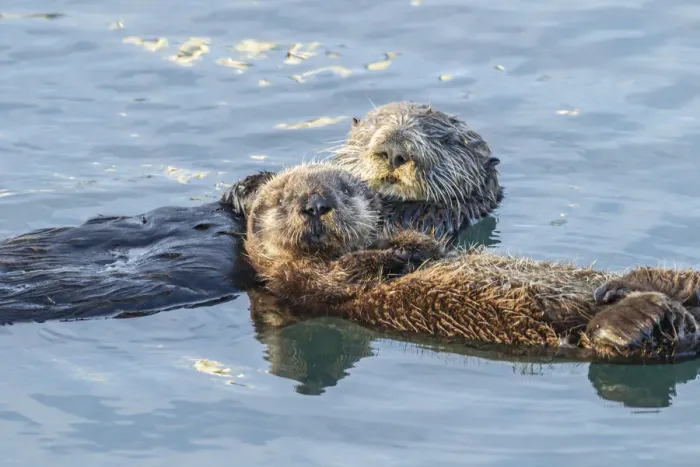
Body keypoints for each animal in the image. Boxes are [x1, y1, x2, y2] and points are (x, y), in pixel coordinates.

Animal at [244, 162, 700, 363]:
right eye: (281, 198)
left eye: (344, 190)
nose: (316, 204)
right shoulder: (301, 286)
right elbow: (343, 272)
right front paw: (394, 254)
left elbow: (425, 243)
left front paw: (410, 247)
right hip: (586, 337)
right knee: (612, 336)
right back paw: (635, 314)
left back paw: (627, 287)